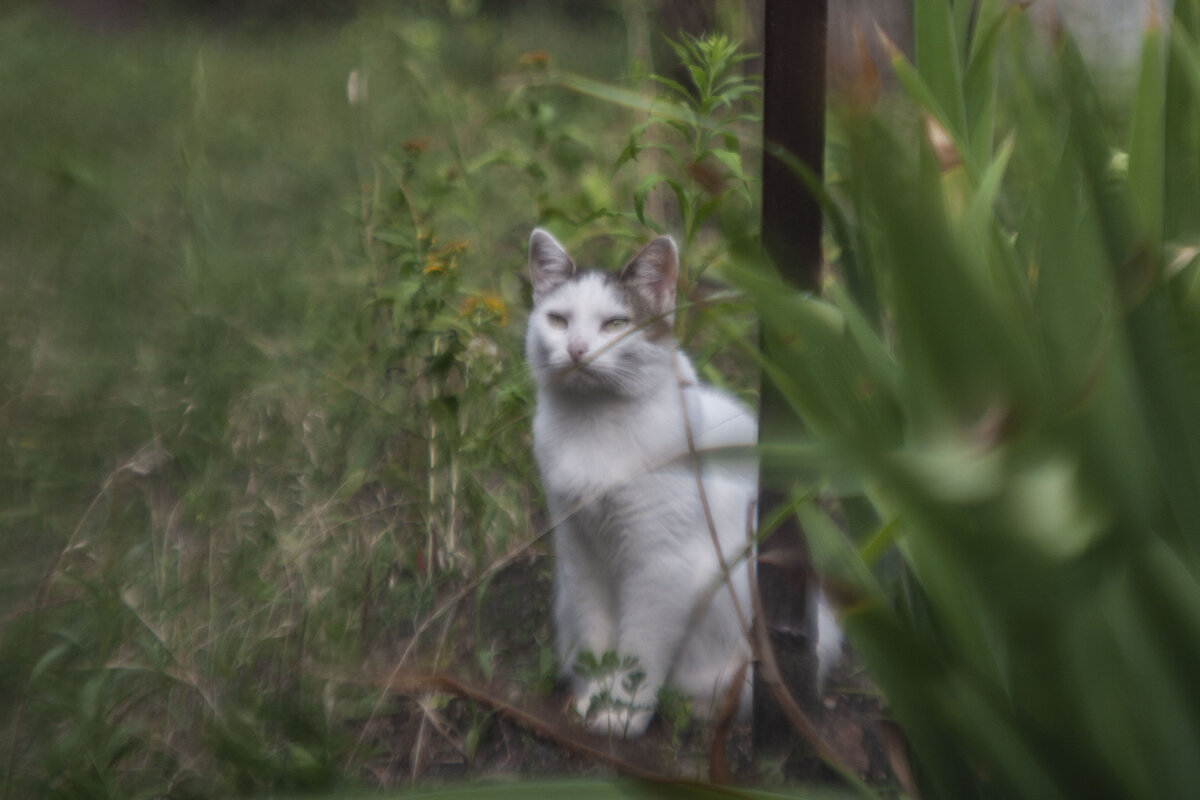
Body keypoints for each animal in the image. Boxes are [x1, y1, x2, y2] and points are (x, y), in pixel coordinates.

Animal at [520, 225, 753, 738]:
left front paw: (622, 715)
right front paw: (593, 699)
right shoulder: (581, 552)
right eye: (559, 320)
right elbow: (596, 636)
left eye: (615, 324)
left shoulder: (661, 564)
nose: (577, 349)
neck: (593, 427)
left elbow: (641, 651)